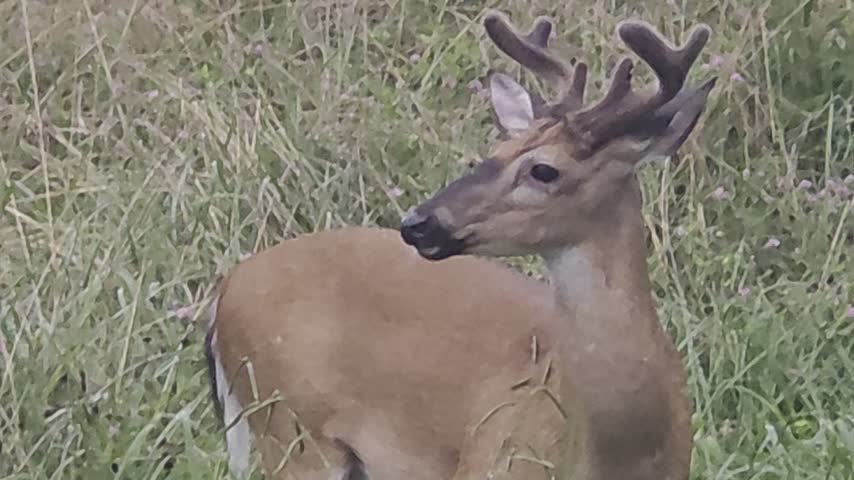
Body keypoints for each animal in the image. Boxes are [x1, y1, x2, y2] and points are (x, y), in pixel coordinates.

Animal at [205, 9, 716, 480]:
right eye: (495, 152)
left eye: (543, 169)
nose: (418, 223)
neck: (615, 452)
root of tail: (226, 289)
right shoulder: (491, 459)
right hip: (289, 428)